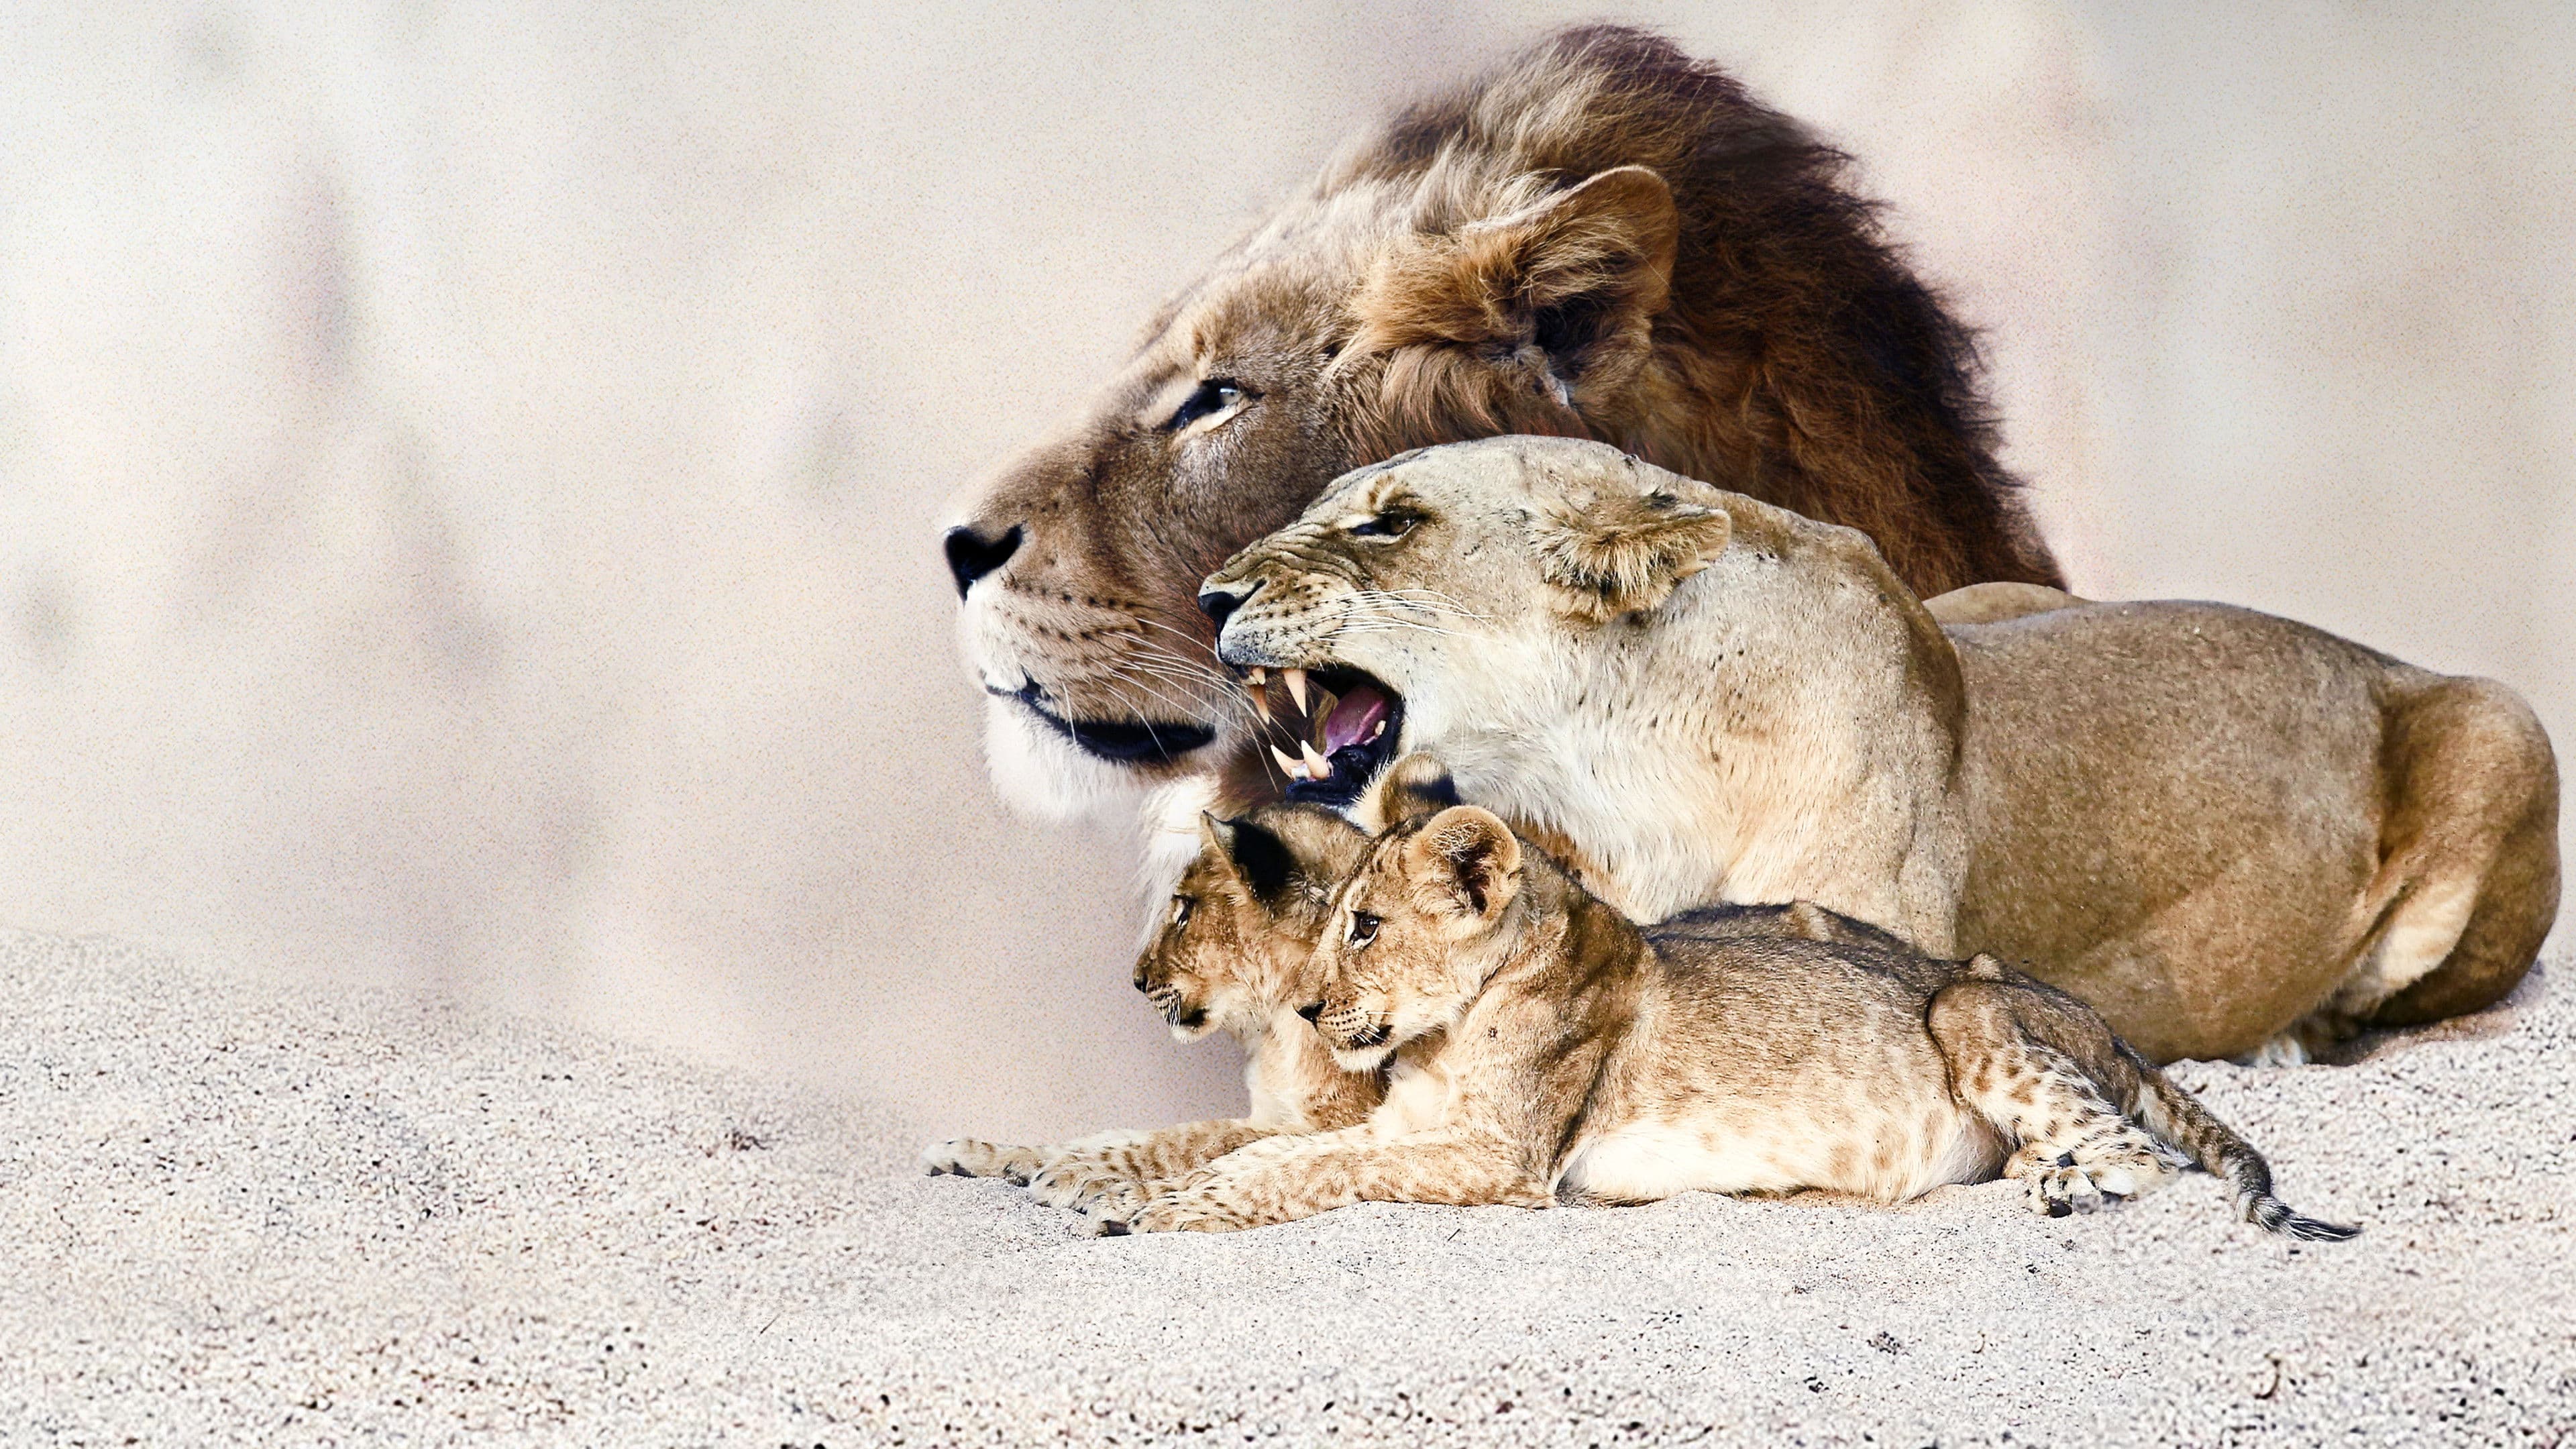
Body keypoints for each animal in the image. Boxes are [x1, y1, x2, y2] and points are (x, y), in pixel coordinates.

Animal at [1110, 796, 2355, 1239]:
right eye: (1333, 923)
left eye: (1365, 926)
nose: (1310, 1006)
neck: (1447, 1031)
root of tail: (2108, 1026)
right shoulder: (1401, 1125)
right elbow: (1277, 1151)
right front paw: (1159, 1195)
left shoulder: (1507, 1161)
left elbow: (1320, 1167)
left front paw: (1173, 1212)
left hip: (1967, 1005)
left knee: (2145, 1159)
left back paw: (2072, 1190)